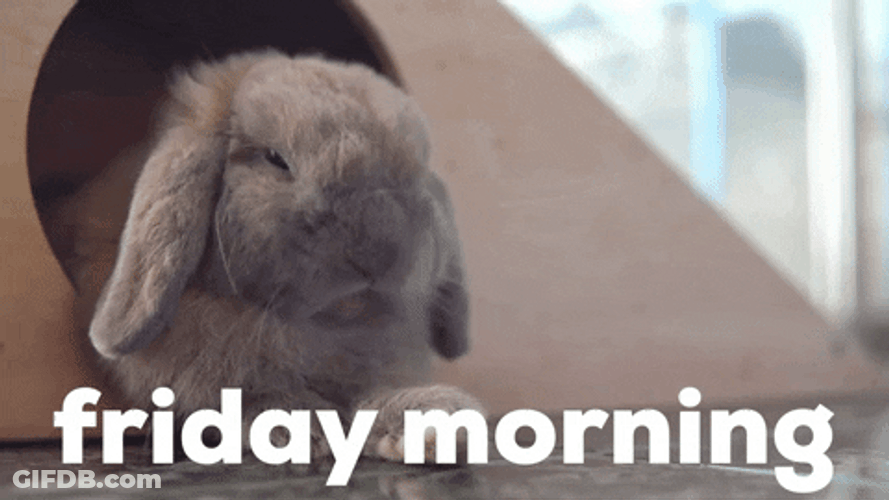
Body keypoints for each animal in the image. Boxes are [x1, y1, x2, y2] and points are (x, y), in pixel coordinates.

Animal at [57, 49, 484, 461]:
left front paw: (439, 420)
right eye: (275, 159)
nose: (380, 250)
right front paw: (303, 428)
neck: (321, 328)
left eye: (416, 172)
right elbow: (247, 399)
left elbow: (372, 398)